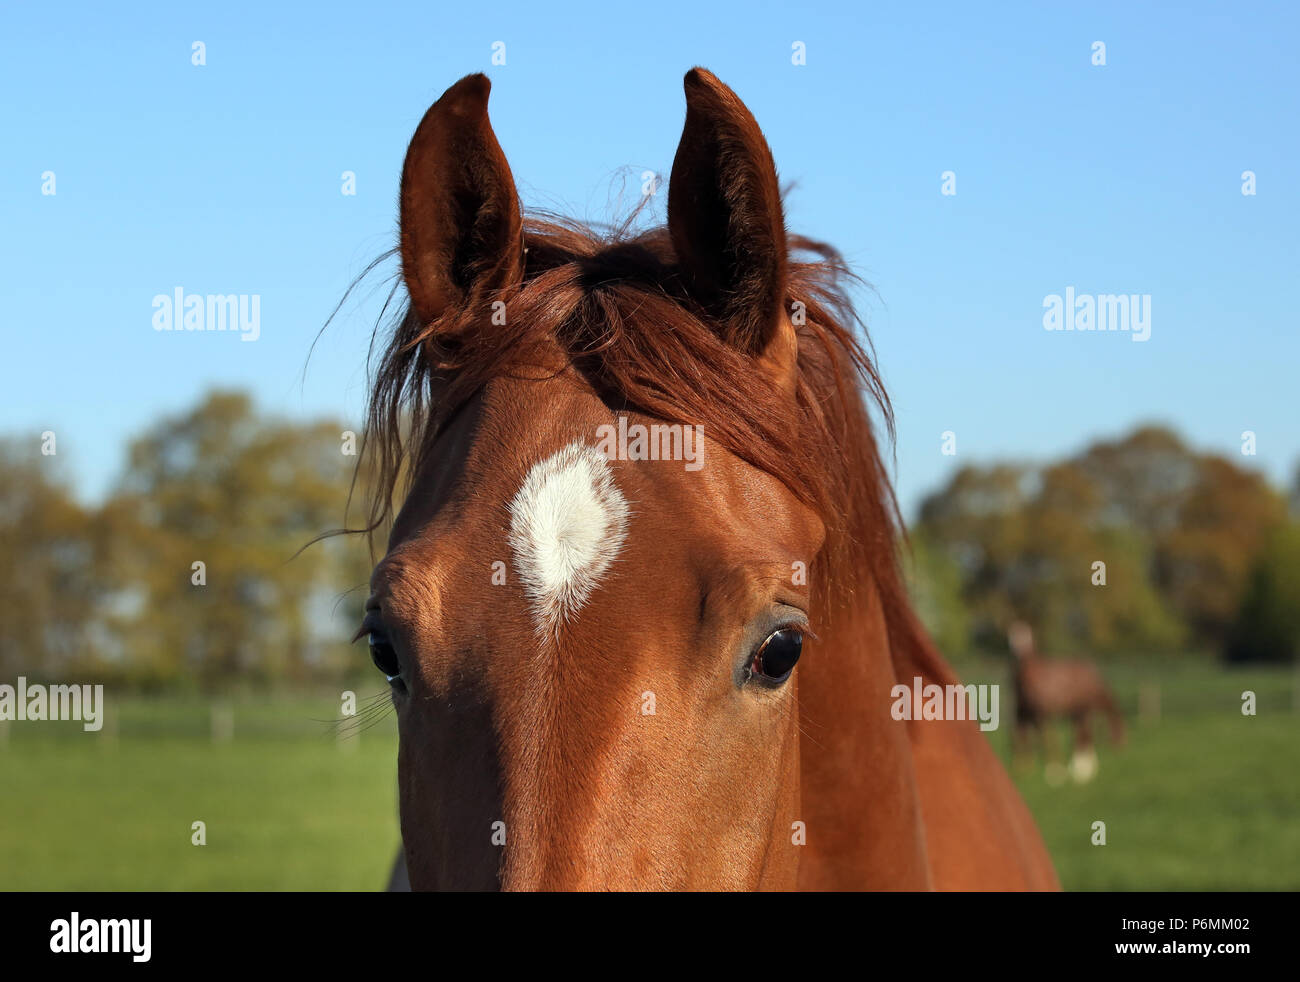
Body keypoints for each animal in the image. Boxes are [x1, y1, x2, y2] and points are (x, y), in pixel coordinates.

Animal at [1003, 621, 1128, 785]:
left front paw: (1071, 770)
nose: (1121, 747)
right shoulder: (1033, 714)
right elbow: (1037, 738)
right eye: (1010, 636)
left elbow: (1066, 737)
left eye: (1029, 636)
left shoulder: (1063, 712)